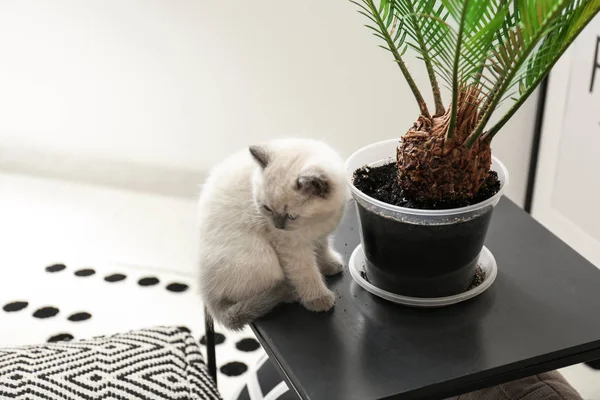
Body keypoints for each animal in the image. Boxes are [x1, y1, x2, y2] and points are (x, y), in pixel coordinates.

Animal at [198, 139, 346, 330]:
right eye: (267, 208)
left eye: (291, 216)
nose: (277, 226)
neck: (317, 222)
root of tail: (207, 296)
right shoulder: (293, 248)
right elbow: (307, 274)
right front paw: (318, 299)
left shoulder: (320, 237)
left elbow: (323, 252)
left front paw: (330, 265)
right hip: (264, 257)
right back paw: (291, 293)